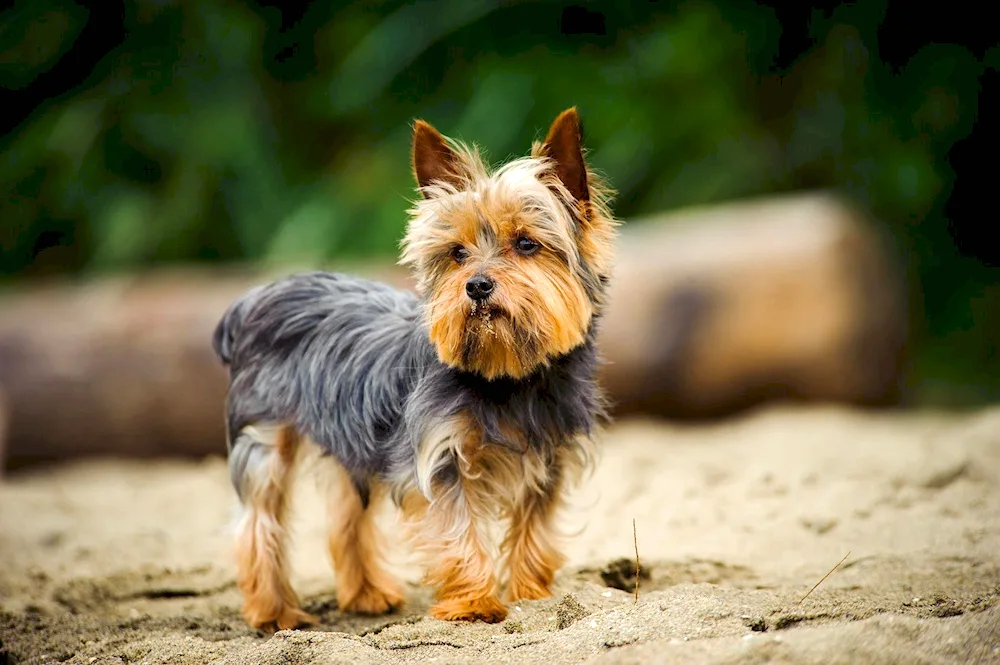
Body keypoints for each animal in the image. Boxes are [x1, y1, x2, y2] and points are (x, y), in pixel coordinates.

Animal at [211, 106, 616, 632]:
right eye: (457, 253)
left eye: (526, 243)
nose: (476, 285)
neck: (508, 377)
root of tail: (253, 298)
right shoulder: (441, 458)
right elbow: (459, 530)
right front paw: (474, 604)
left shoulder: (550, 457)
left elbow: (535, 528)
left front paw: (533, 593)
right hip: (265, 437)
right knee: (258, 522)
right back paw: (275, 612)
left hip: (350, 436)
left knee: (347, 517)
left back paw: (366, 595)